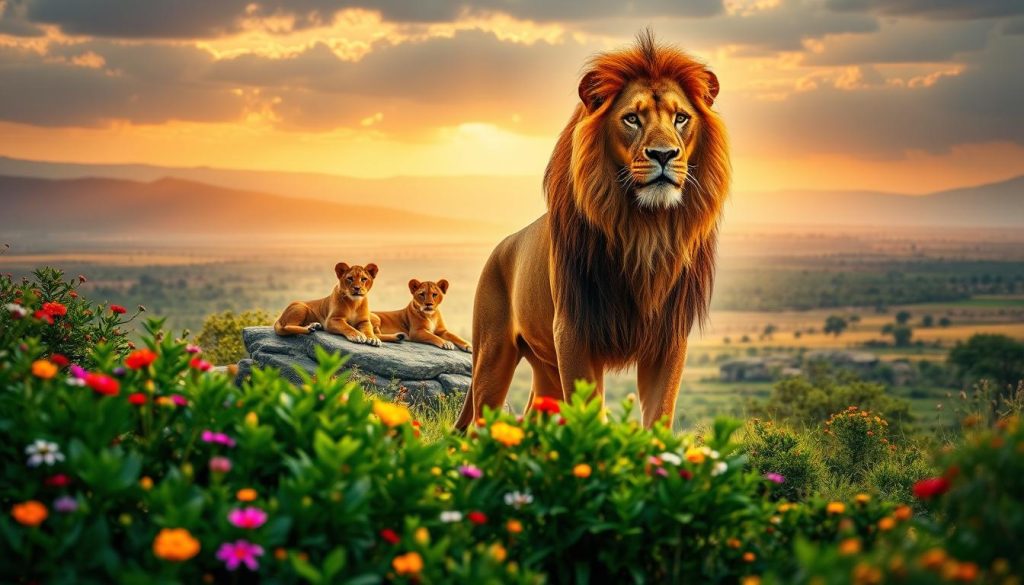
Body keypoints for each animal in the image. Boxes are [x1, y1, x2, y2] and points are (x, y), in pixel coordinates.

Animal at [455, 32, 730, 429]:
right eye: (631, 118)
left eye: (681, 118)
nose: (664, 154)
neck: (644, 229)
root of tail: (502, 247)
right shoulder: (574, 332)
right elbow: (589, 415)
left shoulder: (669, 339)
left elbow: (659, 417)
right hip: (492, 354)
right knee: (482, 423)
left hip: (546, 369)